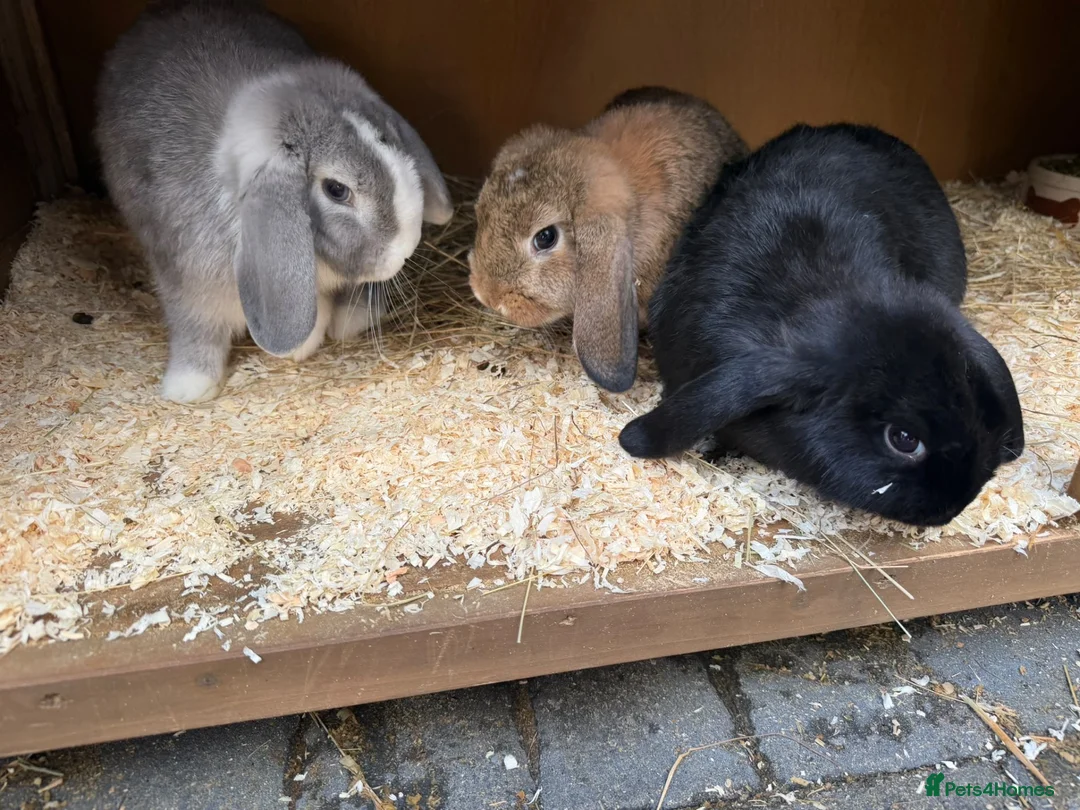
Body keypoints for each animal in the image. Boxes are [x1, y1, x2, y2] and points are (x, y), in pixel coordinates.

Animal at [95, 0, 453, 402]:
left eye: (390, 140)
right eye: (337, 190)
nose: (407, 247)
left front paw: (335, 329)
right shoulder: (185, 274)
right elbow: (195, 324)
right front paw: (188, 387)